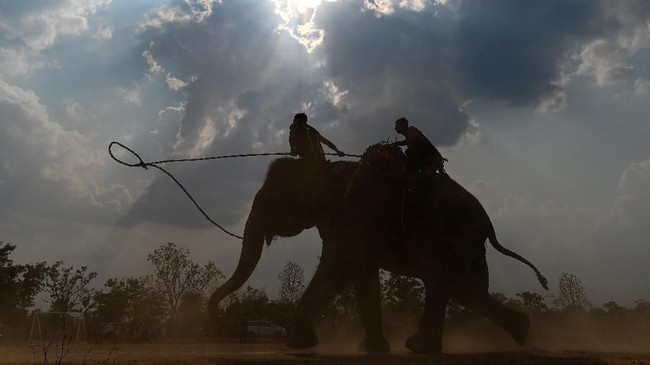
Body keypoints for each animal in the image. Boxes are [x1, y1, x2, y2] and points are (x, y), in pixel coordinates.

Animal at [209, 142, 548, 352]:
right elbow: (362, 277)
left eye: (272, 201)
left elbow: (337, 269)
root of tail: (489, 224)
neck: (326, 170)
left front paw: (299, 345)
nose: (214, 316)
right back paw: (519, 331)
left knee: (456, 287)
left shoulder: (354, 218)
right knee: (461, 289)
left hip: (456, 238)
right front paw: (372, 349)